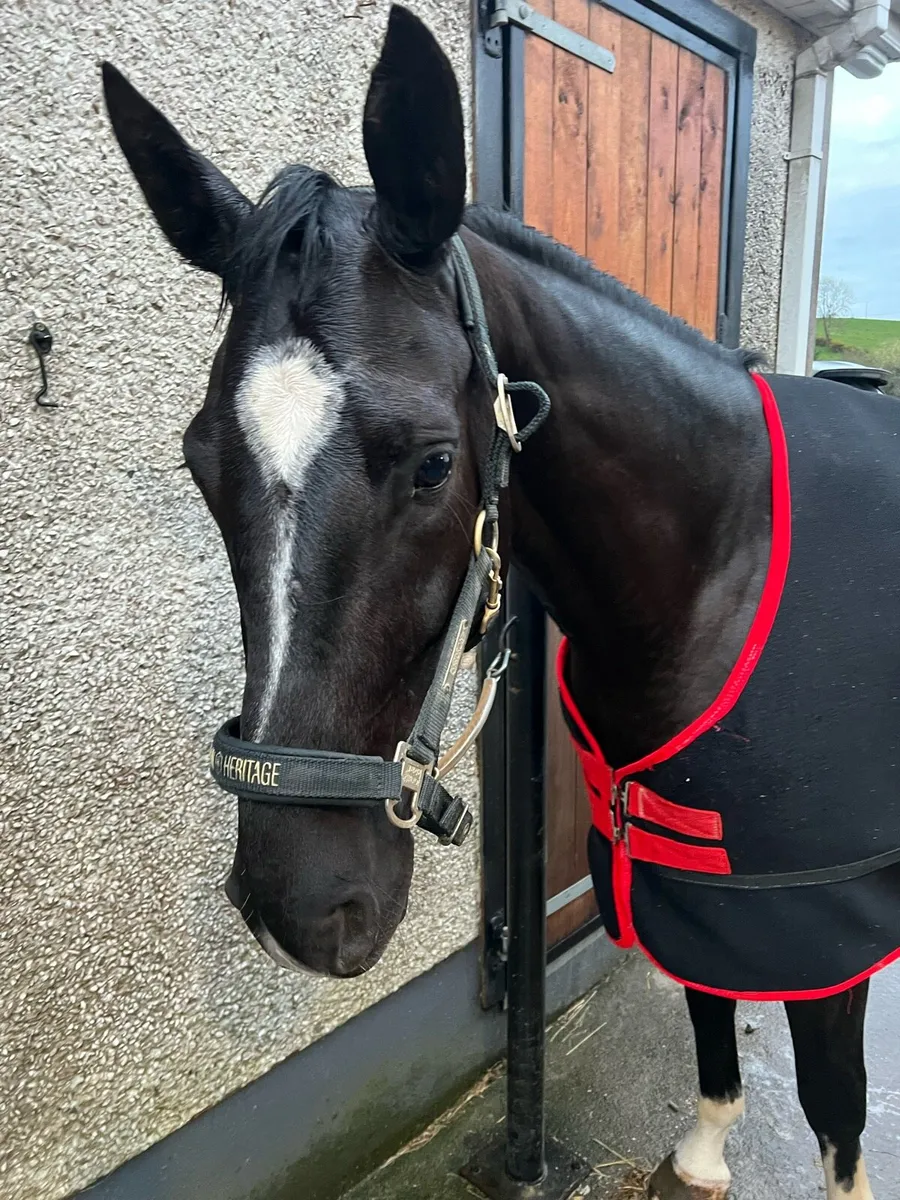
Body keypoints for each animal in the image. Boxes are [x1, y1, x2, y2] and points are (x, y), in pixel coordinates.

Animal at [101, 6, 900, 1198]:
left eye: (436, 464)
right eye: (202, 463)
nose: (300, 909)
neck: (724, 571)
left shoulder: (817, 928)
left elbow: (836, 1109)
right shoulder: (686, 876)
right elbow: (709, 1014)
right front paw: (704, 1152)